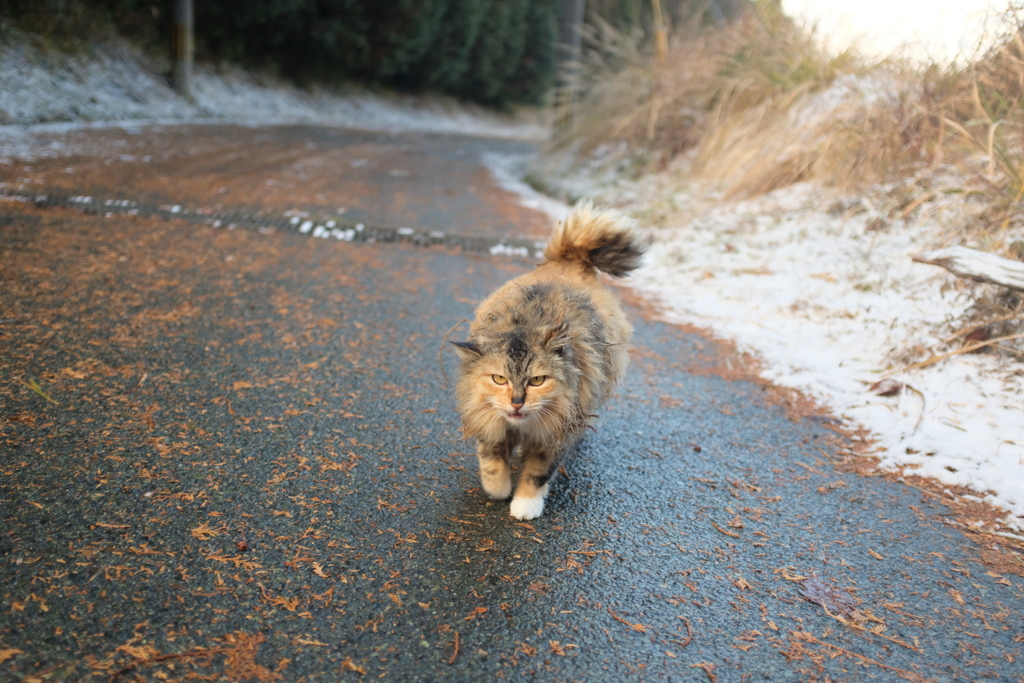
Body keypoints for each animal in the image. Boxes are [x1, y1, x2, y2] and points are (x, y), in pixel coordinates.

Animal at [450, 200, 647, 520]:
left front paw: (524, 505)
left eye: (537, 381)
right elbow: (491, 461)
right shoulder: (486, 417)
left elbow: (537, 473)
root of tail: (572, 258)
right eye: (499, 379)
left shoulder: (557, 433)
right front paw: (499, 490)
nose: (517, 402)